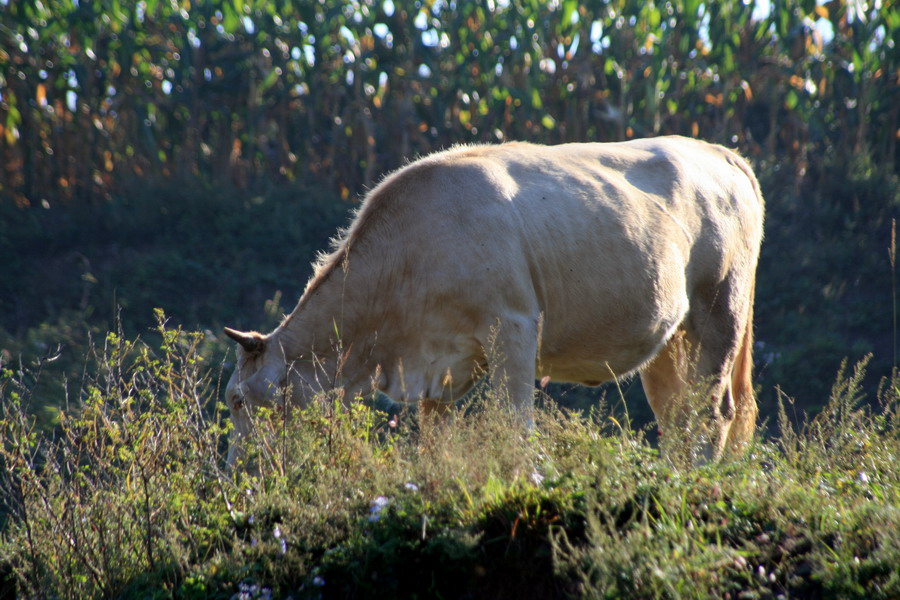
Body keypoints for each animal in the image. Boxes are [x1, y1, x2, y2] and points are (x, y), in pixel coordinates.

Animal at [225, 138, 768, 466]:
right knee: (676, 413)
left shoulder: (514, 324)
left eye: (239, 400)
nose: (235, 474)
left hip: (720, 310)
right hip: (668, 336)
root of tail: (719, 152)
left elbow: (514, 425)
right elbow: (434, 438)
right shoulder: (436, 364)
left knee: (712, 412)